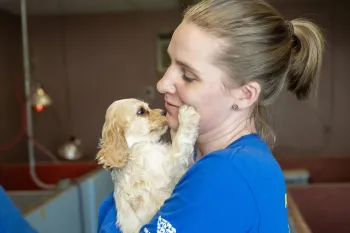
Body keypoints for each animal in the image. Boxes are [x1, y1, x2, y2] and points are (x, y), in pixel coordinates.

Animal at [95, 98, 200, 233]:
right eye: (141, 111)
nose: (164, 112)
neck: (135, 146)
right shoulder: (168, 168)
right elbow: (180, 142)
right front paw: (187, 115)